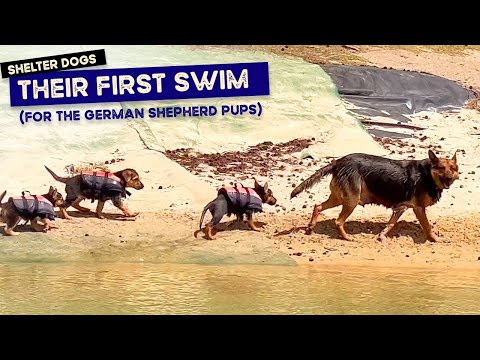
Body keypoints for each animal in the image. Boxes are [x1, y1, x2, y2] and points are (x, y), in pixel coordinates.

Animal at [290, 148, 460, 243]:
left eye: (453, 168)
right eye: (441, 168)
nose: (449, 178)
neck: (428, 175)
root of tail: (338, 162)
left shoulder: (401, 208)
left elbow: (390, 224)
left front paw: (382, 236)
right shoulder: (417, 208)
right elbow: (428, 227)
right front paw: (436, 239)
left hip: (339, 198)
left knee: (318, 206)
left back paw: (311, 227)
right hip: (351, 200)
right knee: (338, 221)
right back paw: (347, 238)